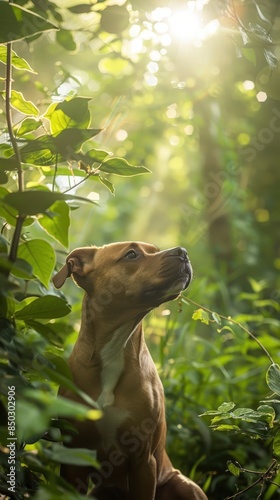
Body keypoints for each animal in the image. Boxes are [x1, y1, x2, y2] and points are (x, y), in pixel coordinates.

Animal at [53, 242, 208, 500]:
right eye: (131, 254)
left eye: (156, 249)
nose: (182, 252)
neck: (115, 349)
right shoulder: (74, 456)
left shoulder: (143, 460)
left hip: (184, 485)